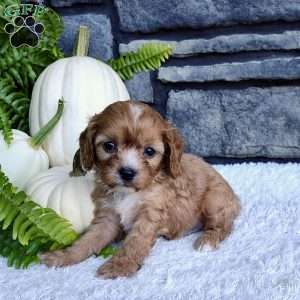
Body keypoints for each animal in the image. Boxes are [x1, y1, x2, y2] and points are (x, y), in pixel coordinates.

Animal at [40, 100, 241, 278]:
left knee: (225, 225)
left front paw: (120, 266)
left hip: (215, 200)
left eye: (149, 151)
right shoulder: (108, 215)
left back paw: (208, 240)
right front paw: (63, 257)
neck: (130, 193)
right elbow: (88, 240)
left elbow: (135, 242)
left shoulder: (150, 214)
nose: (127, 172)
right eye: (109, 146)